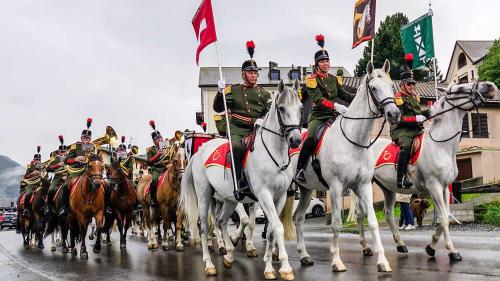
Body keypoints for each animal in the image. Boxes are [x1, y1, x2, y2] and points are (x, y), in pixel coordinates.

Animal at [182, 80, 302, 278]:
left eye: (300, 108)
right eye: (282, 108)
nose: (296, 140)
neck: (273, 153)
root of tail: (200, 150)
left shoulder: (279, 197)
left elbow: (270, 229)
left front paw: (269, 266)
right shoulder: (264, 195)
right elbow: (277, 227)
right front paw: (285, 267)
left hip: (229, 199)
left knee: (221, 221)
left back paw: (229, 255)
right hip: (204, 196)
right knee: (204, 226)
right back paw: (209, 263)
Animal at [286, 59, 398, 272]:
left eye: (391, 85)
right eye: (373, 88)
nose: (394, 114)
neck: (354, 141)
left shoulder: (363, 186)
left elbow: (372, 222)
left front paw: (383, 261)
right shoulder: (336, 188)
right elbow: (336, 224)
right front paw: (337, 260)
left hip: (305, 190)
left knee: (298, 218)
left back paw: (304, 256)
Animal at [358, 80, 498, 260]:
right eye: (460, 88)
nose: (490, 86)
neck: (440, 145)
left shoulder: (444, 188)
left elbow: (445, 216)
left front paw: (431, 246)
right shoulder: (434, 187)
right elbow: (444, 218)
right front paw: (452, 251)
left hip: (387, 188)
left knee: (388, 213)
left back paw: (400, 244)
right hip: (364, 185)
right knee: (360, 214)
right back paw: (366, 247)